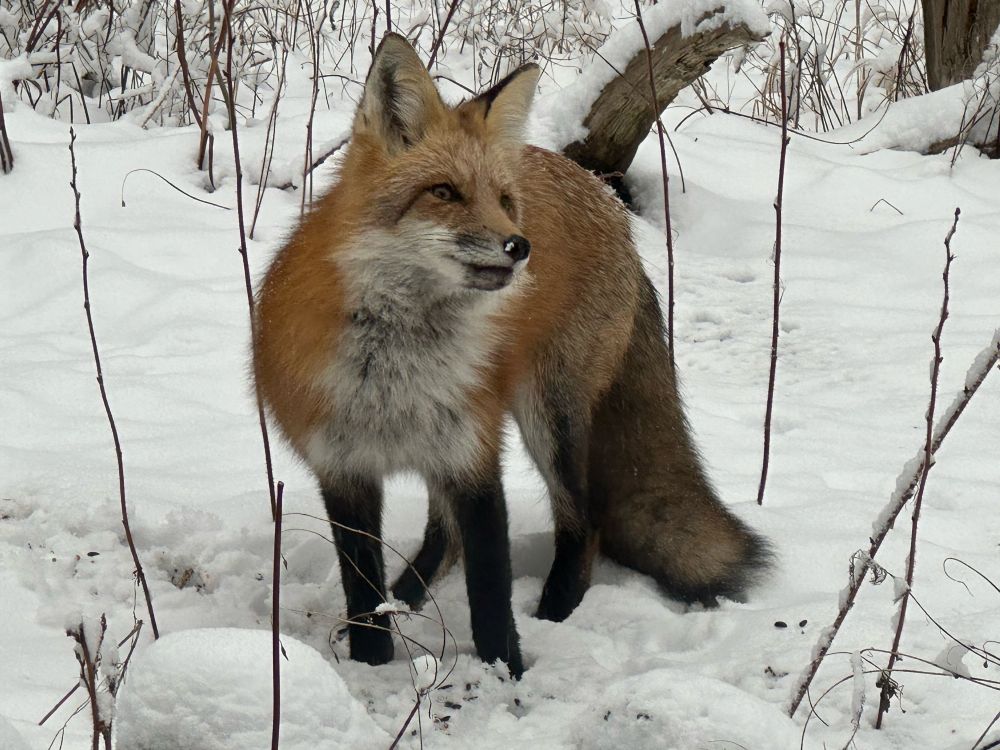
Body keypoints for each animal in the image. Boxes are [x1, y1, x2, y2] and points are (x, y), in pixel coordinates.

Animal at [252, 33, 771, 678]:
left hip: (550, 415)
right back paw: (410, 599)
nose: (520, 247)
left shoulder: (474, 457)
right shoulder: (344, 468)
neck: (396, 370)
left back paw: (554, 613)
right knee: (444, 537)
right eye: (443, 192)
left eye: (503, 200)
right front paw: (371, 662)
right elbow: (364, 594)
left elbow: (491, 593)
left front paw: (508, 673)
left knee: (583, 522)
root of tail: (603, 196)